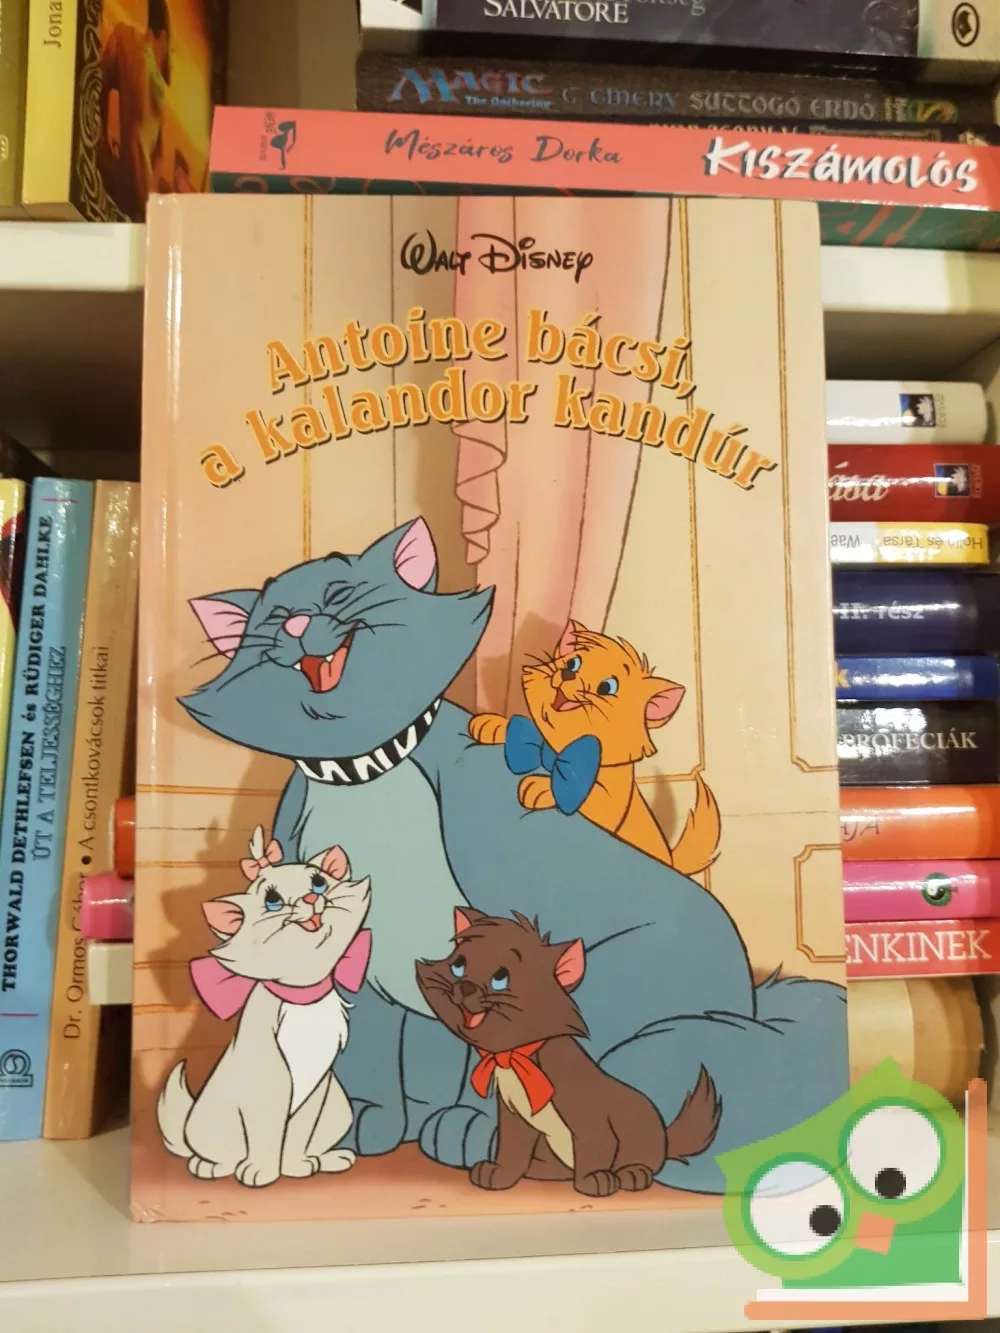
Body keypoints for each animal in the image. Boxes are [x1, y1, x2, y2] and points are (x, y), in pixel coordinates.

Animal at [156, 826, 372, 1188]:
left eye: (319, 882)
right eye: (273, 901)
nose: (311, 899)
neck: (301, 993)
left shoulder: (318, 1085)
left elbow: (298, 1131)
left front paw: (296, 1167)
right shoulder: (268, 1084)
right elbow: (266, 1131)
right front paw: (262, 1172)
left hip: (338, 1106)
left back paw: (330, 1159)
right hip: (211, 1120)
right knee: (218, 1153)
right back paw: (211, 1166)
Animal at [416, 908, 720, 1196]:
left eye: (500, 979)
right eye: (458, 966)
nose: (465, 987)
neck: (518, 1056)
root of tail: (666, 1137)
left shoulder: (589, 1117)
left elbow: (596, 1145)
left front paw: (594, 1180)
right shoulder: (515, 1120)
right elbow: (512, 1149)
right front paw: (500, 1175)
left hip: (641, 1128)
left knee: (641, 1159)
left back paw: (632, 1173)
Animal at [468, 620, 721, 875]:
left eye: (607, 687)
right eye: (573, 662)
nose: (567, 673)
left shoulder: (607, 805)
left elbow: (582, 796)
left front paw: (541, 786)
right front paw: (492, 724)